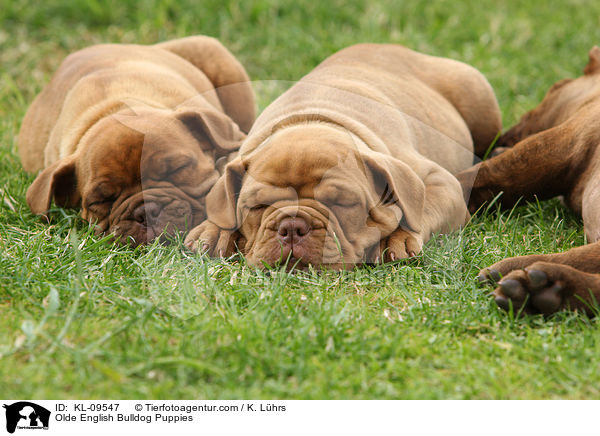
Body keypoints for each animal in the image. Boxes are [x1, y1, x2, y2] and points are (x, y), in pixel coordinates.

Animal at [184, 45, 502, 270]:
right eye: (257, 206)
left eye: (342, 203)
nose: (292, 227)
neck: (313, 118)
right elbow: (221, 204)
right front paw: (213, 231)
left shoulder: (439, 181)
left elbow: (420, 209)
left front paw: (398, 237)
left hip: (478, 98)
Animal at [458, 46, 600, 314]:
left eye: (554, 87)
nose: (501, 136)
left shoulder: (556, 146)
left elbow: (481, 174)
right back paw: (541, 292)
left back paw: (534, 283)